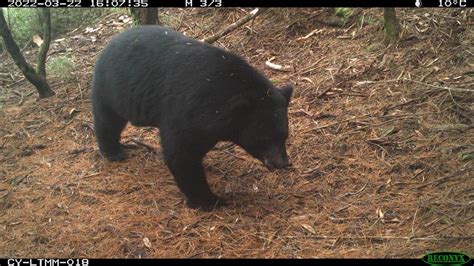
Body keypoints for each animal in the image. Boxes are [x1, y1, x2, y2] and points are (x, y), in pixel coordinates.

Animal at [91, 26, 292, 211]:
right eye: (264, 138)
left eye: (284, 136)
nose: (282, 163)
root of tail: (110, 42)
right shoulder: (188, 106)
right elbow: (181, 153)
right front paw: (209, 200)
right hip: (110, 88)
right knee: (107, 121)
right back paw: (113, 152)